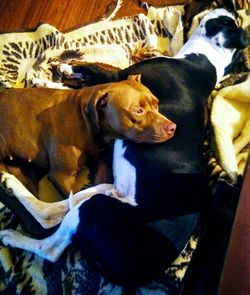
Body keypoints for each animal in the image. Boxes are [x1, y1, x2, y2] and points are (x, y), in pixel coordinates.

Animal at [0, 76, 176, 197]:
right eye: (138, 111)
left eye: (157, 104)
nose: (172, 128)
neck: (88, 120)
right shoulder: (61, 175)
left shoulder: (102, 164)